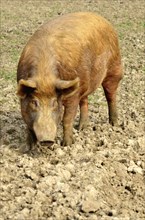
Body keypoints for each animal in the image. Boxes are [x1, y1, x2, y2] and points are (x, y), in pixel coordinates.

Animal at [16, 11, 122, 150]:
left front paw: (67, 145)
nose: (47, 140)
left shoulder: (73, 95)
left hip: (114, 68)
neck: (45, 75)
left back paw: (114, 124)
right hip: (83, 83)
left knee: (111, 96)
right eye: (34, 102)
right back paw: (82, 128)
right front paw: (28, 148)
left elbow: (67, 118)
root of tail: (102, 18)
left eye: (55, 103)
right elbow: (28, 123)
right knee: (85, 101)